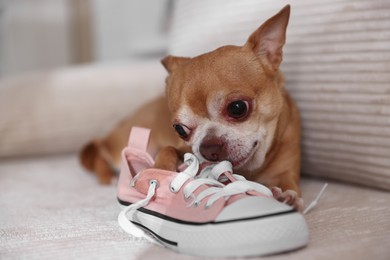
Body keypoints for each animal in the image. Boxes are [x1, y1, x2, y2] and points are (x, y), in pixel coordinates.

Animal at [80, 5, 304, 209]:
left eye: (237, 108)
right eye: (180, 129)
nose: (209, 147)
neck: (249, 171)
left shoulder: (287, 171)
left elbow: (288, 184)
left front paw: (286, 196)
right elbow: (168, 149)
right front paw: (159, 170)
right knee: (99, 152)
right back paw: (107, 176)